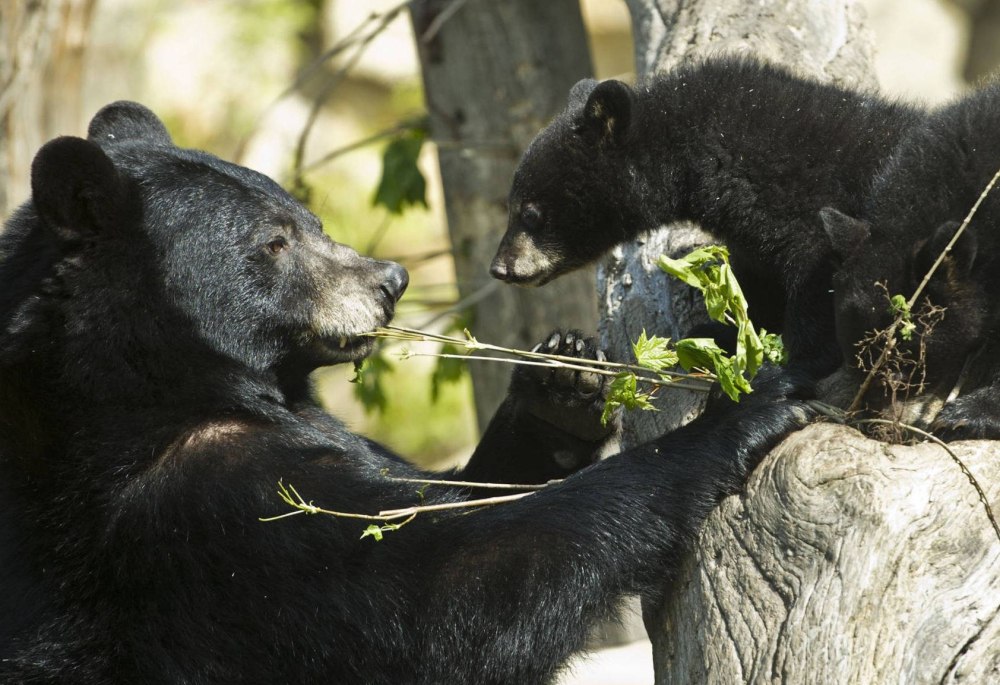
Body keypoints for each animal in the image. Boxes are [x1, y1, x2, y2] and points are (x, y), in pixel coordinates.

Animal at [0, 101, 812, 684]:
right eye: (272, 241)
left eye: (311, 217)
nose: (388, 280)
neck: (146, 381)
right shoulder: (187, 510)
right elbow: (447, 586)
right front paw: (752, 407)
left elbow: (444, 487)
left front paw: (563, 378)